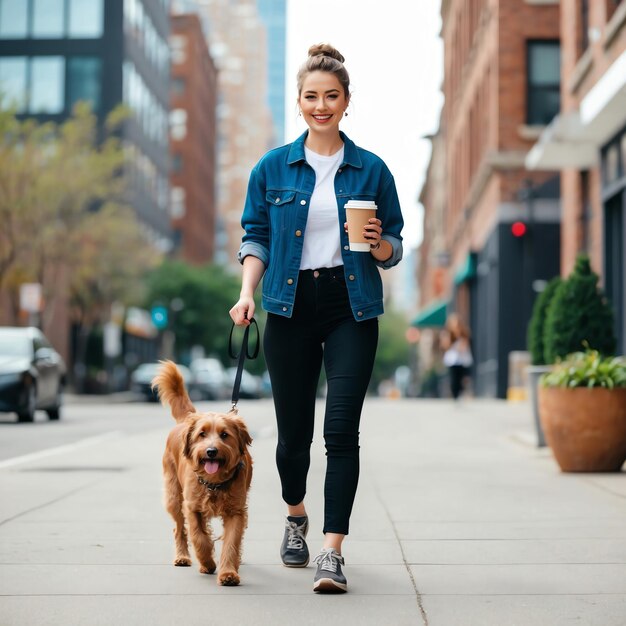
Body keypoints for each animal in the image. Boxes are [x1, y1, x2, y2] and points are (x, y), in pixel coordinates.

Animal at [152, 358, 252, 584]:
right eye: (202, 434)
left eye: (224, 435)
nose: (211, 451)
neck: (214, 482)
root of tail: (187, 419)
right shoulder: (192, 507)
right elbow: (199, 536)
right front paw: (207, 562)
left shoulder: (236, 511)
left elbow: (231, 542)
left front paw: (228, 572)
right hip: (174, 498)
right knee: (179, 529)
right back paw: (182, 556)